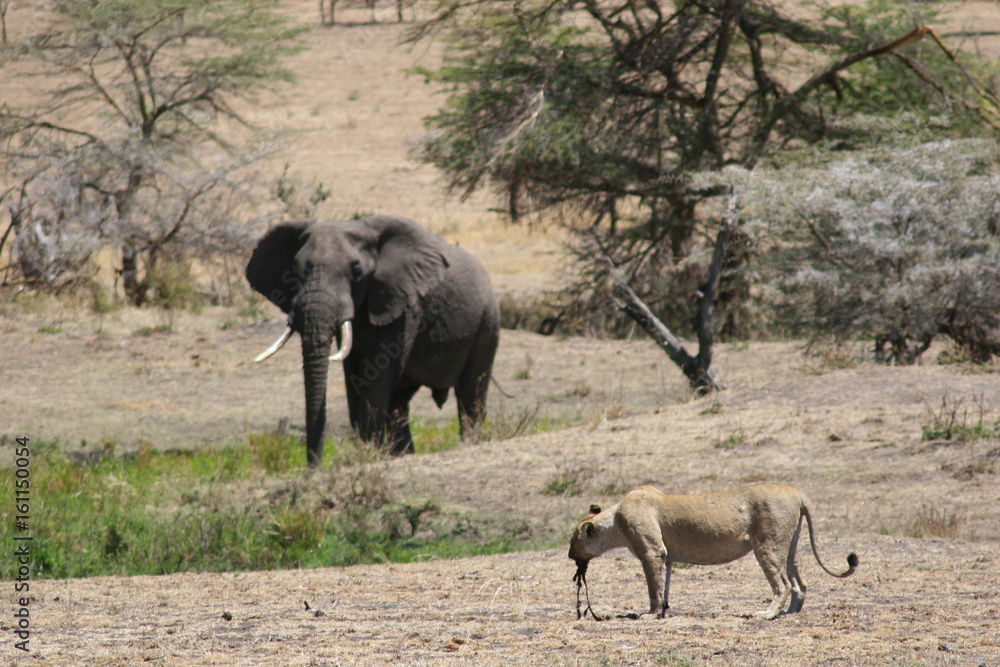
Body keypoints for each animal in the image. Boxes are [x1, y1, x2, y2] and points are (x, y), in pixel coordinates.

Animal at [568, 483, 858, 620]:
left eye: (572, 539)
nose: (570, 556)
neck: (615, 520)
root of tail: (798, 493)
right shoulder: (666, 556)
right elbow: (664, 584)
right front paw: (663, 610)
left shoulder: (652, 551)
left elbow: (653, 587)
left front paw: (650, 614)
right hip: (789, 546)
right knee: (801, 582)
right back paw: (789, 612)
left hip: (768, 545)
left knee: (783, 584)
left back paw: (768, 614)